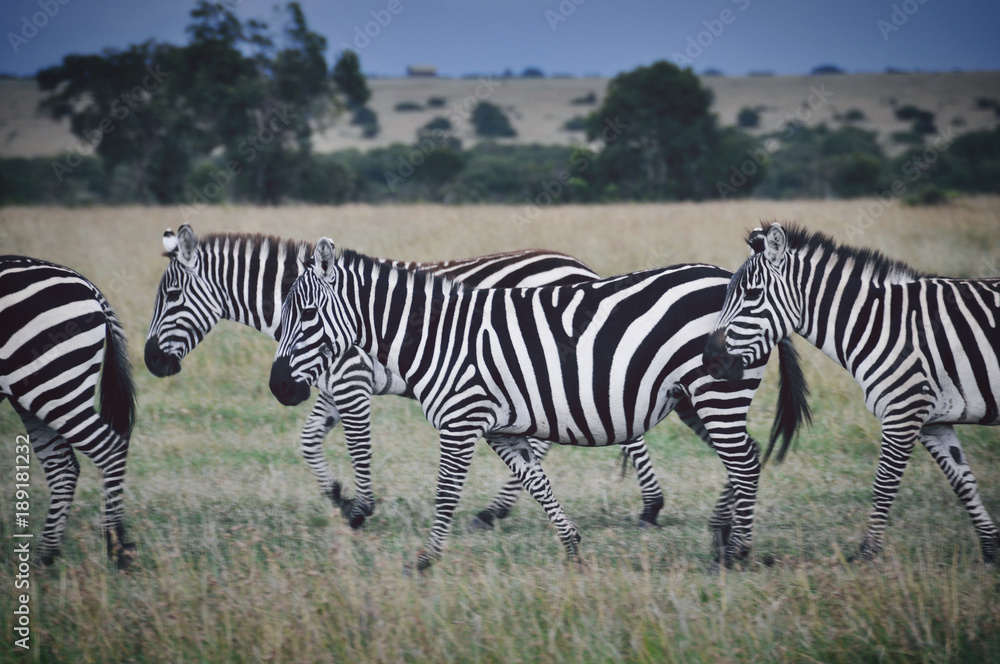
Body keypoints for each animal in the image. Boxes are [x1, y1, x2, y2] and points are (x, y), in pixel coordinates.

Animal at [0, 256, 137, 568]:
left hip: (52, 384)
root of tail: (86, 284)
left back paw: (116, 547)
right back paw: (43, 559)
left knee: (109, 449)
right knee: (62, 466)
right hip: (32, 393)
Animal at [144, 224, 667, 530]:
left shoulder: (351, 380)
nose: (150, 362)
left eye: (169, 296)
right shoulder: (332, 386)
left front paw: (360, 508)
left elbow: (357, 446)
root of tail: (581, 267)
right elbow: (310, 441)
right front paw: (337, 495)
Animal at [269, 238, 810, 570]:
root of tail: (731, 279)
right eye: (284, 310)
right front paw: (571, 547)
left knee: (743, 460)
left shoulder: (461, 420)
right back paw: (721, 536)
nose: (278, 387)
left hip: (715, 392)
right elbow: (537, 481)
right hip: (696, 398)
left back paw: (736, 551)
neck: (438, 337)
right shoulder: (499, 428)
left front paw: (425, 560)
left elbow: (446, 493)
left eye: (307, 312)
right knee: (744, 457)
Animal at [704, 222, 1000, 563]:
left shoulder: (903, 410)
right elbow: (963, 482)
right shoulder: (931, 420)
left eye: (752, 294)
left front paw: (867, 554)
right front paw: (991, 548)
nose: (708, 359)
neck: (881, 324)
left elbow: (884, 483)